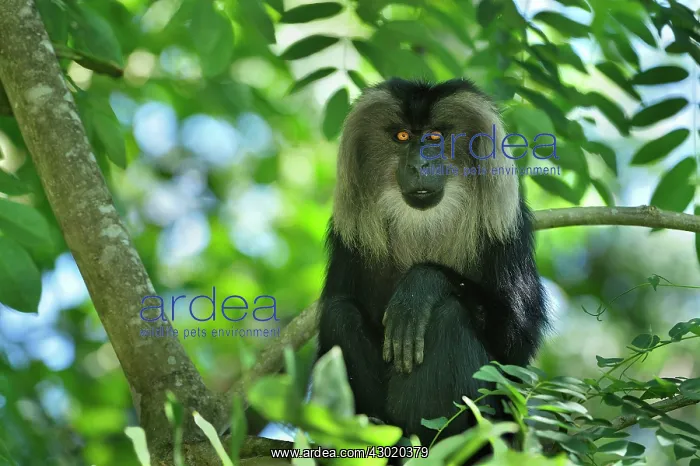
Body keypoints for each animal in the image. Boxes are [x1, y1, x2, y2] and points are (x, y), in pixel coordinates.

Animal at [315, 77, 549, 459]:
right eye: (402, 137)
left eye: (436, 137)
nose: (419, 165)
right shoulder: (347, 241)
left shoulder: (507, 231)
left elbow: (517, 342)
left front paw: (419, 287)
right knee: (340, 314)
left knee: (449, 315)